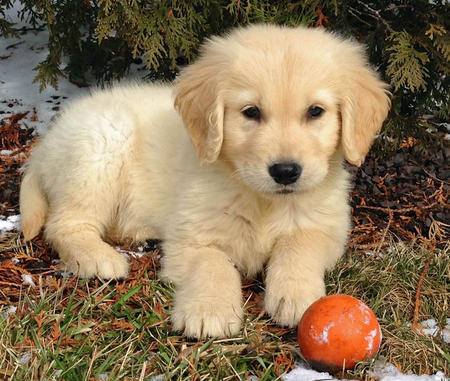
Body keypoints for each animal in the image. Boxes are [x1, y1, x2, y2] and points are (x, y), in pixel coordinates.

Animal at [19, 25, 388, 336]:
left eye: (315, 112)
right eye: (251, 112)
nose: (285, 171)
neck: (260, 198)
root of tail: (45, 144)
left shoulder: (325, 226)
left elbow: (298, 245)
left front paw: (297, 296)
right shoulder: (192, 236)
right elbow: (213, 263)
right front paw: (209, 311)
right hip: (101, 146)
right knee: (64, 224)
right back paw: (99, 258)